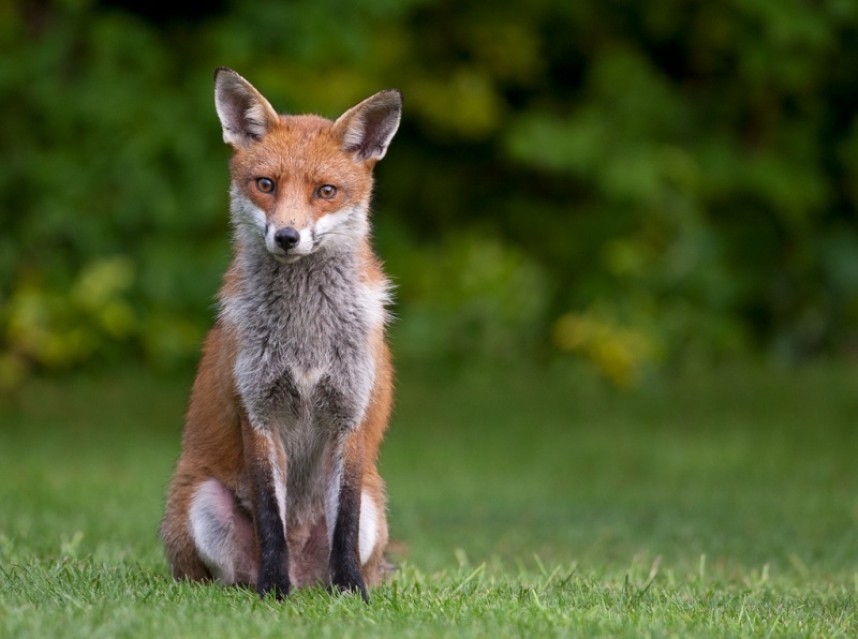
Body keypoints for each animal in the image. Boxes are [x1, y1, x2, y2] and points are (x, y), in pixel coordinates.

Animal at [160, 67, 402, 601]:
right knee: (225, 575)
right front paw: (273, 588)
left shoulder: (350, 417)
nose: (287, 237)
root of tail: (308, 578)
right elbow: (272, 516)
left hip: (375, 507)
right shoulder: (259, 412)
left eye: (326, 191)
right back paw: (262, 585)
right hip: (203, 503)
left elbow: (343, 523)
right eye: (265, 184)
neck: (305, 334)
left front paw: (351, 590)